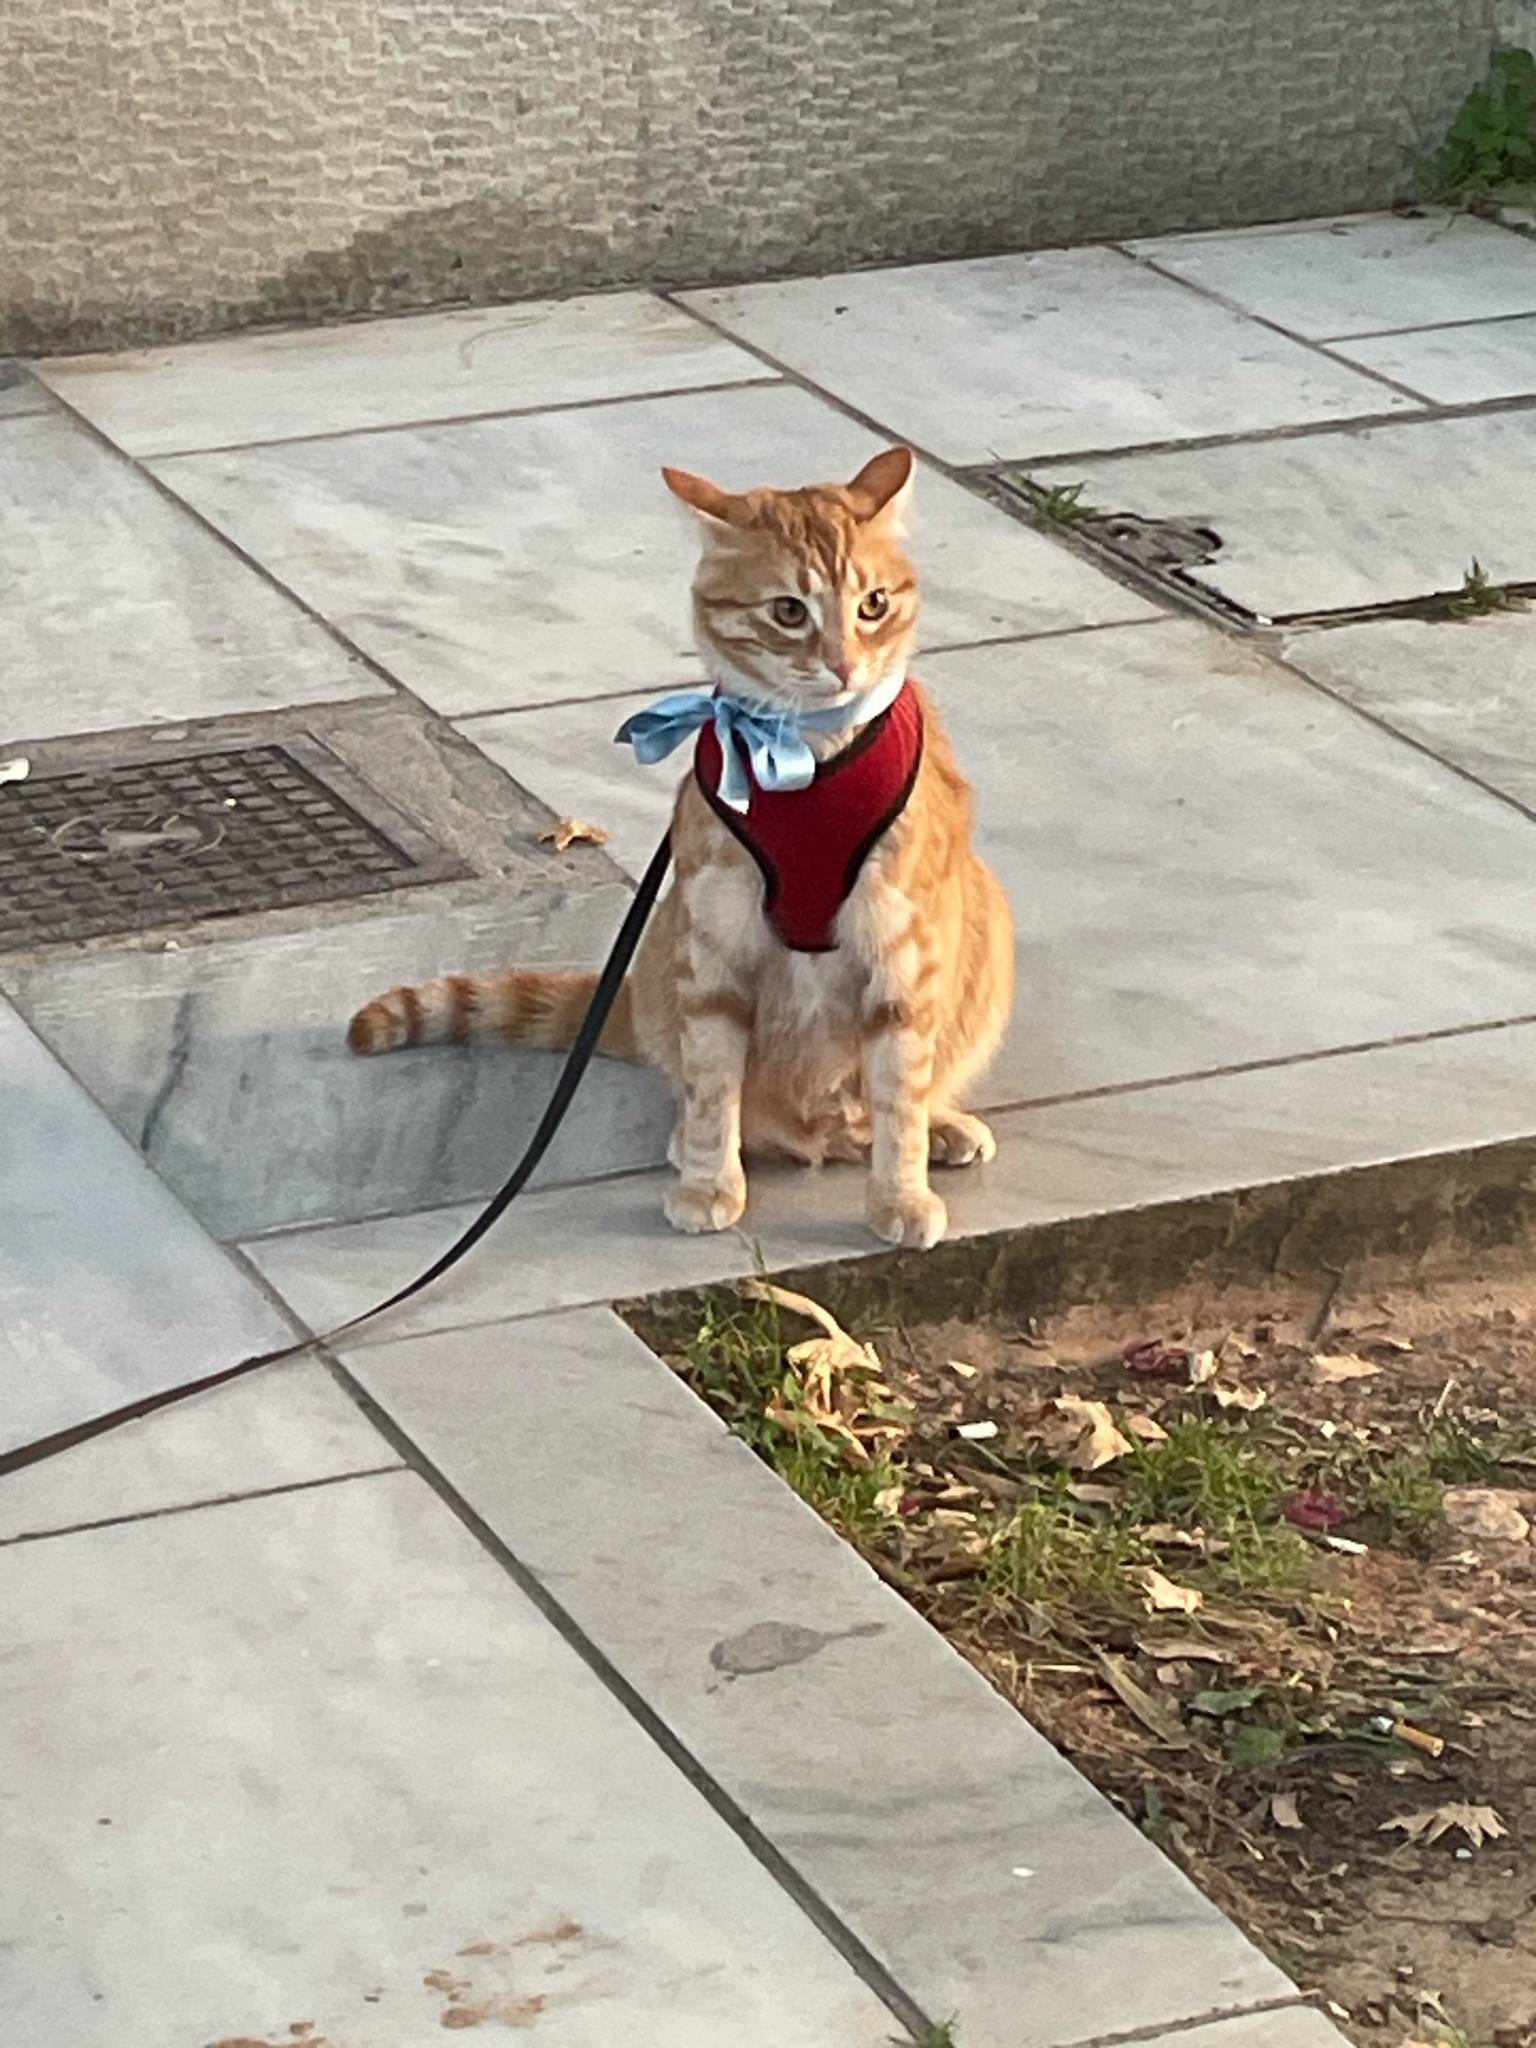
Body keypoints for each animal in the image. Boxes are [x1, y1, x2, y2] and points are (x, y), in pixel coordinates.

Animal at [348, 445, 1014, 1249]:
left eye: (874, 604)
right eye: (788, 611)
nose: (844, 665)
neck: (806, 757)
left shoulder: (901, 955)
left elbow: (899, 1096)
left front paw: (902, 1192)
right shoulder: (715, 945)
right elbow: (712, 1086)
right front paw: (708, 1180)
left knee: (877, 1108)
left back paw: (939, 1126)